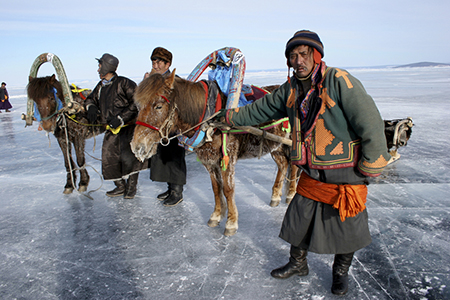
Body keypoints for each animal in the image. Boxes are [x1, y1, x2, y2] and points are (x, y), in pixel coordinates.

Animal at [131, 70, 298, 237]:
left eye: (158, 106)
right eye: (138, 106)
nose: (136, 146)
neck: (210, 120)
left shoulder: (227, 159)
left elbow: (228, 190)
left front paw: (231, 222)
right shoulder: (209, 161)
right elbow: (216, 188)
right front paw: (216, 216)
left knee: (294, 166)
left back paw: (290, 194)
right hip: (276, 145)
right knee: (283, 164)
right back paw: (276, 196)